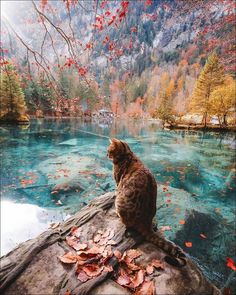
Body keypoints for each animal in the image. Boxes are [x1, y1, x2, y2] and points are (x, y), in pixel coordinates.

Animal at [107, 139, 186, 268]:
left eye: (109, 150)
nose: (106, 154)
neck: (127, 154)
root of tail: (146, 222)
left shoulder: (118, 181)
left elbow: (116, 188)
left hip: (120, 202)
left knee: (127, 224)